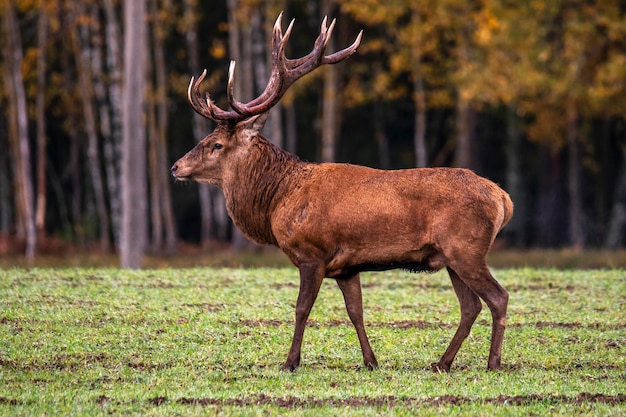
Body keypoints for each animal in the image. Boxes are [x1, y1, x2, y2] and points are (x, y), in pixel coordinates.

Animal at [171, 12, 512, 370]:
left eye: (215, 144)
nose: (176, 167)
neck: (278, 200)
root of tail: (504, 199)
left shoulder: (312, 253)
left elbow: (301, 309)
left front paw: (290, 362)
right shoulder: (347, 267)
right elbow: (355, 312)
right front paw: (371, 361)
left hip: (466, 249)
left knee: (498, 297)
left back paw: (493, 363)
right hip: (451, 257)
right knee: (470, 305)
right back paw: (442, 362)